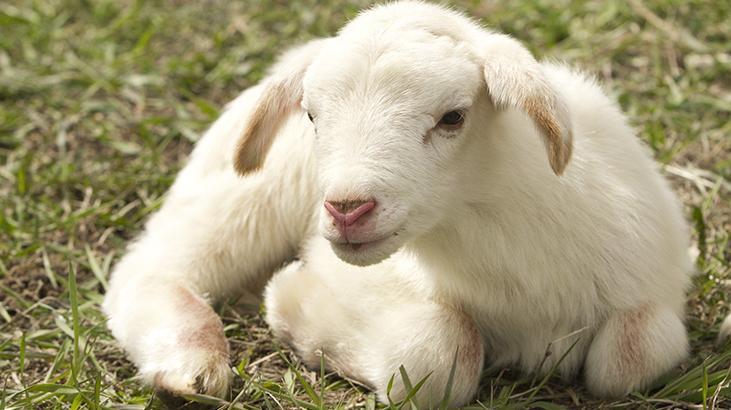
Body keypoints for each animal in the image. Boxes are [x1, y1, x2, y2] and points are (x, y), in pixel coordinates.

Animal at [98, 1, 716, 406]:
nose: (347, 208)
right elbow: (441, 354)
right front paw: (292, 308)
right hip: (244, 195)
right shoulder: (360, 281)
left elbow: (634, 353)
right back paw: (190, 367)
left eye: (453, 117)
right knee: (152, 268)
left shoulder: (651, 286)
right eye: (312, 115)